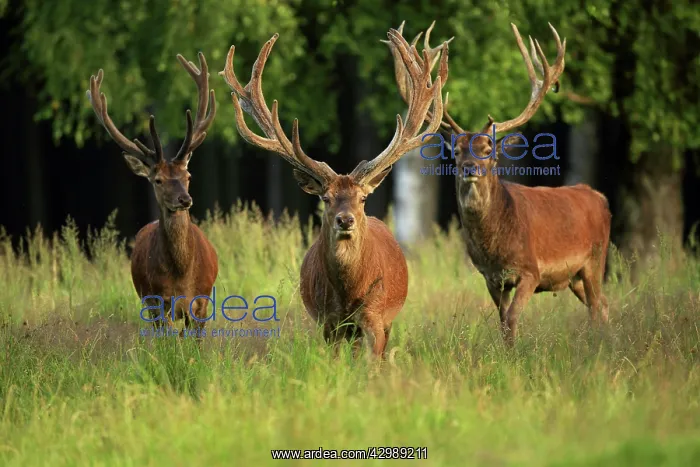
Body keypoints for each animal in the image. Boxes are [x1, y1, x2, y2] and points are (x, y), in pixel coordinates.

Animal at [86, 52, 219, 337]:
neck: (182, 277)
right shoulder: (158, 301)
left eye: (188, 176)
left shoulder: (201, 301)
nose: (184, 200)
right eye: (157, 180)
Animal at [219, 30, 448, 357]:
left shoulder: (375, 315)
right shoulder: (328, 321)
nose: (345, 220)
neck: (348, 293)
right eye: (325, 199)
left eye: (363, 198)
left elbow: (374, 358)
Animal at [385, 22, 611, 345]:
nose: (470, 168)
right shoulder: (491, 277)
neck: (496, 244)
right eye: (456, 151)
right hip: (575, 276)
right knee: (602, 305)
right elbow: (503, 321)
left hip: (595, 258)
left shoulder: (531, 270)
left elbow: (513, 317)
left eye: (488, 150)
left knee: (596, 305)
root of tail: (599, 197)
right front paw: (507, 350)